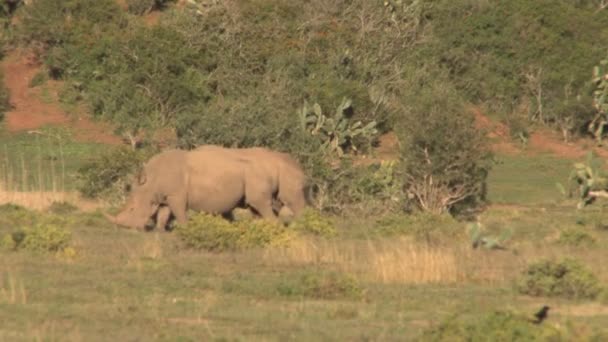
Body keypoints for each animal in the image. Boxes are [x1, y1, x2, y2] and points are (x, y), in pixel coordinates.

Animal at [104, 144, 308, 230]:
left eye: (132, 209)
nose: (126, 229)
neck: (151, 181)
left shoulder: (176, 195)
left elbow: (179, 212)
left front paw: (185, 229)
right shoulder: (166, 195)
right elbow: (164, 213)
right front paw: (161, 231)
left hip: (265, 174)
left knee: (273, 202)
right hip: (256, 175)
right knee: (258, 205)